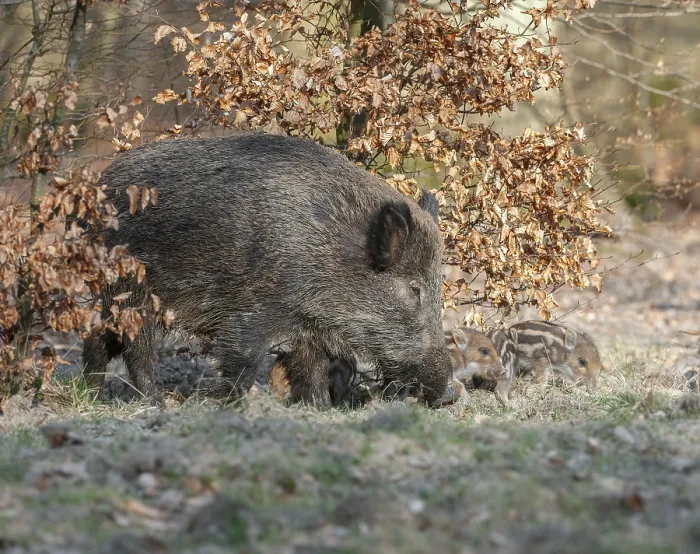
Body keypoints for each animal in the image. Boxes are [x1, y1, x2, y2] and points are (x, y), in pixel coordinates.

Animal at [81, 133, 451, 407]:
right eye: (414, 288)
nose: (444, 393)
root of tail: (99, 187)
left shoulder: (310, 328)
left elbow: (312, 370)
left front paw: (319, 407)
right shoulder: (250, 312)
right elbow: (244, 363)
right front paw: (222, 403)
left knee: (97, 338)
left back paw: (93, 395)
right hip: (133, 290)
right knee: (136, 346)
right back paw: (156, 401)